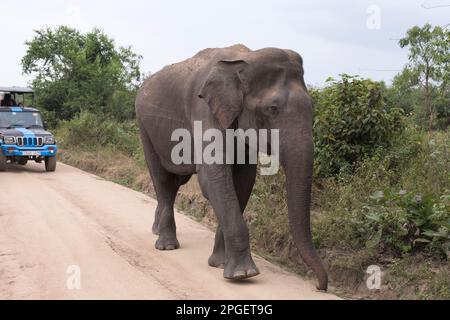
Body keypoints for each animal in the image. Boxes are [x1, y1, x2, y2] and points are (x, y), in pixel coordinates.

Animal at [135, 43, 328, 292]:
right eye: (272, 108)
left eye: (312, 108)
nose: (320, 287)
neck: (247, 58)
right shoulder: (204, 109)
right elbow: (213, 179)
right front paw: (243, 274)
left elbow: (243, 181)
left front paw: (219, 264)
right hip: (144, 127)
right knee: (163, 180)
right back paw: (167, 246)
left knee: (176, 181)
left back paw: (157, 230)